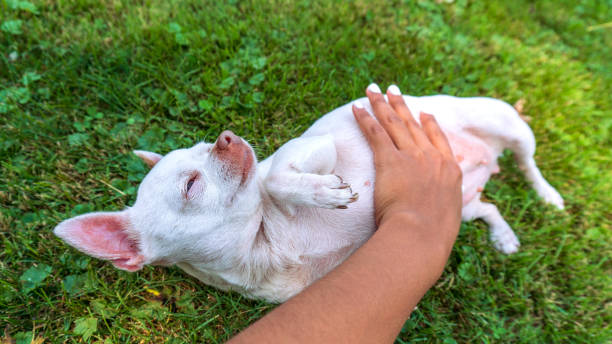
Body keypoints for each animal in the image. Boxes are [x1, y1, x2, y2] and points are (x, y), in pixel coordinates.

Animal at [55, 89, 560, 300]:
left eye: (202, 146)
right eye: (191, 185)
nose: (225, 139)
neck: (269, 242)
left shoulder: (315, 147)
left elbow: (276, 174)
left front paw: (321, 191)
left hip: (508, 125)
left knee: (528, 162)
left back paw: (548, 194)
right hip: (461, 203)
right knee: (488, 206)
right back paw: (503, 235)